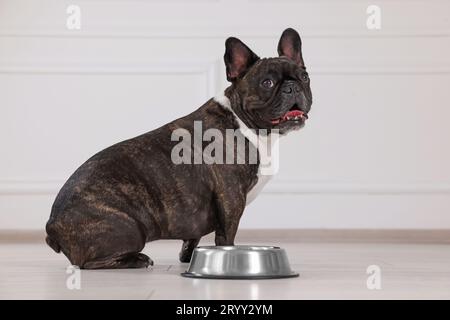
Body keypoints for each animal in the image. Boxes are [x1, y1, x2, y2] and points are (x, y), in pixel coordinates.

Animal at [46, 27, 312, 268]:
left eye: (305, 77)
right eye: (267, 82)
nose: (293, 87)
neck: (245, 123)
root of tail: (52, 225)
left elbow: (193, 237)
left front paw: (189, 257)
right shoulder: (231, 199)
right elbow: (227, 235)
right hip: (129, 229)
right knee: (89, 263)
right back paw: (137, 260)